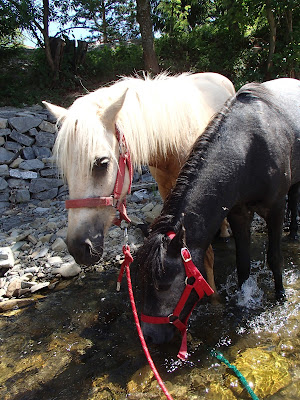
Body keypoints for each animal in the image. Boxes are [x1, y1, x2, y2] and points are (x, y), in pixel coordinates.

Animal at [44, 73, 234, 284]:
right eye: (66, 171)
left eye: (102, 163)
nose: (78, 249)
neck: (172, 141)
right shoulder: (166, 190)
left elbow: (205, 255)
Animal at [138, 78, 300, 346]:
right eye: (144, 282)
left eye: (164, 284)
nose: (149, 336)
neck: (249, 148)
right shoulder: (237, 213)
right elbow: (242, 263)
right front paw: (243, 300)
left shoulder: (275, 209)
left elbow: (275, 257)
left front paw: (280, 296)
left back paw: (294, 232)